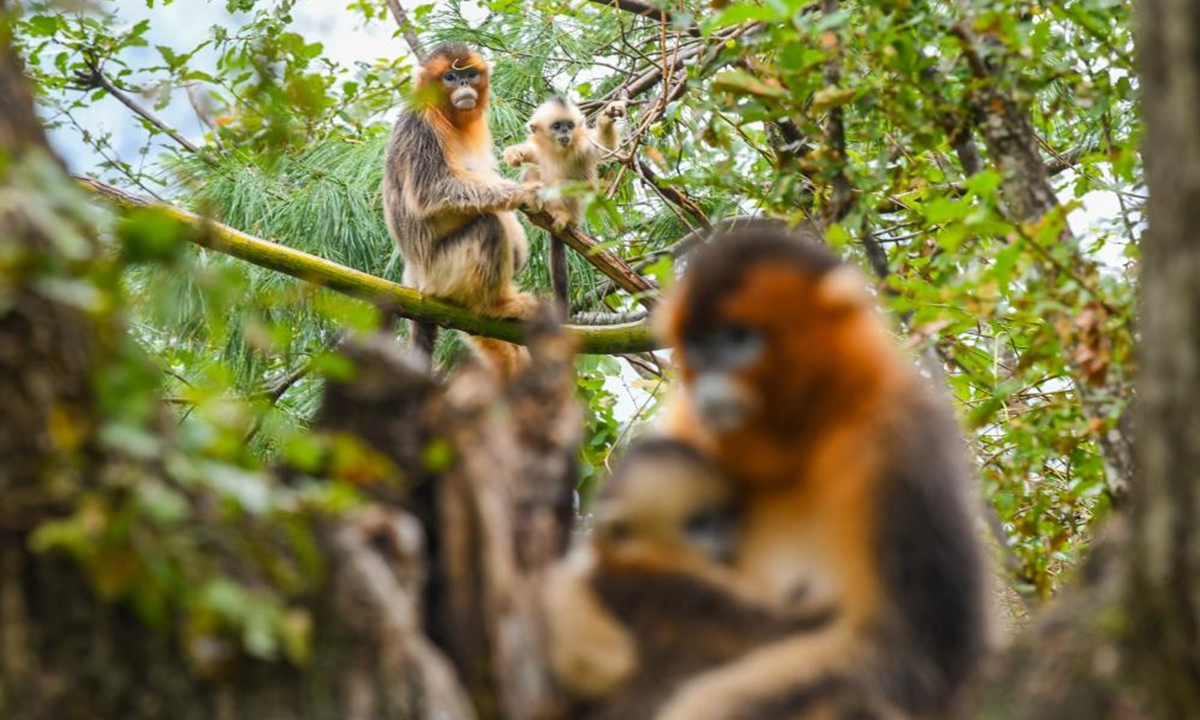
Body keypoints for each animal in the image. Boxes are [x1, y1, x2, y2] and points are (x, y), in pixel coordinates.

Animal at [381, 43, 542, 376]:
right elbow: (433, 189)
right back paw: (496, 306)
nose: (464, 84)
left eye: (469, 74)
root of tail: (414, 277)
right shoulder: (421, 126)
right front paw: (524, 193)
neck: (447, 116)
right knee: (488, 226)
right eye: (450, 77)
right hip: (441, 274)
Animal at [501, 96, 628, 309]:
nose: (565, 133)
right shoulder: (541, 151)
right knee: (532, 171)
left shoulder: (583, 148)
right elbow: (530, 155)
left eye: (569, 126)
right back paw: (534, 203)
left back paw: (564, 217)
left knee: (567, 185)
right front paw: (513, 154)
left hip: (576, 211)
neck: (558, 151)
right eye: (556, 126)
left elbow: (605, 146)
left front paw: (608, 115)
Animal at [540, 439, 849, 720]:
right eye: (699, 523)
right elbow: (779, 629)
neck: (635, 565)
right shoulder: (691, 587)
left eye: (727, 514)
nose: (728, 536)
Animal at [657, 222, 993, 715]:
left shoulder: (896, 440)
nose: (710, 383)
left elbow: (915, 654)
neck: (795, 447)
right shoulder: (687, 429)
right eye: (699, 345)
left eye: (739, 338)